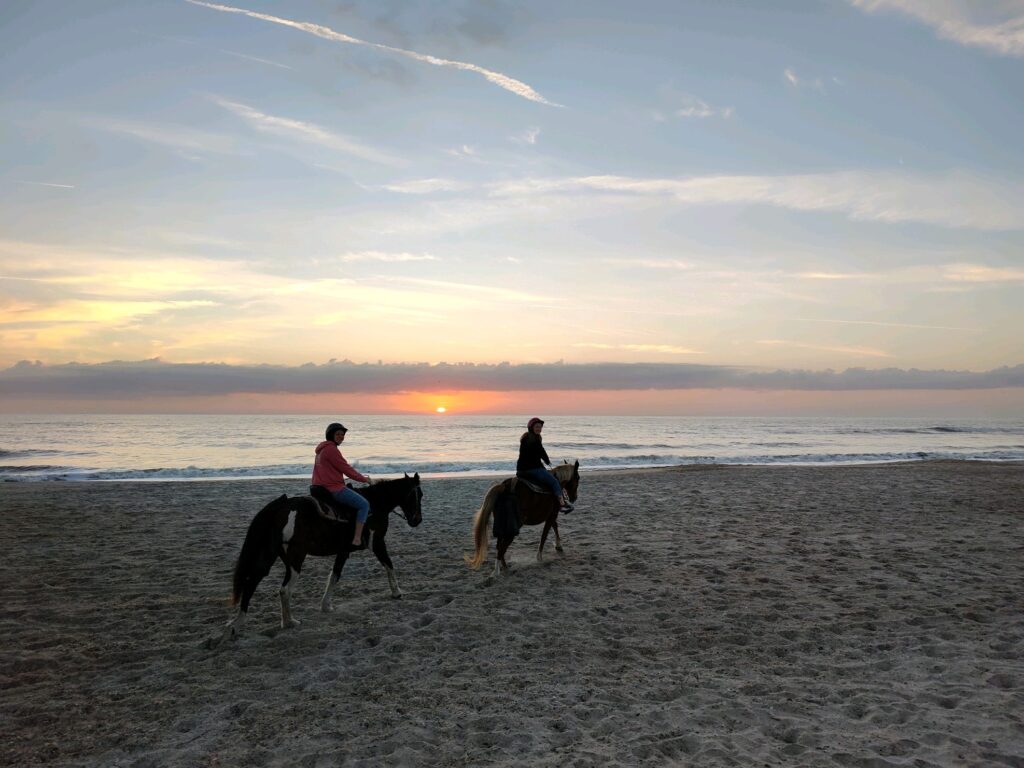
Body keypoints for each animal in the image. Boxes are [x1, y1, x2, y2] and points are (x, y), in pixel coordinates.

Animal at [223, 475, 419, 643]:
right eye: (418, 495)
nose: (417, 520)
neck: (375, 504)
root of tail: (281, 507)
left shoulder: (343, 551)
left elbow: (334, 576)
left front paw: (326, 605)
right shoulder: (377, 543)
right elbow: (389, 564)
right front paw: (397, 592)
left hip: (270, 556)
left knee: (252, 583)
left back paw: (236, 625)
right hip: (296, 559)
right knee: (284, 590)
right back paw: (289, 622)